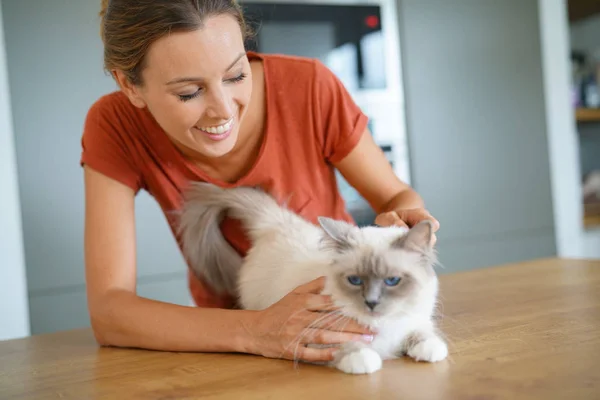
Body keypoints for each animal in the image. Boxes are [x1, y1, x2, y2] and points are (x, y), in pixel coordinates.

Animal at [176, 183, 448, 374]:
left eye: (392, 281)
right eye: (355, 281)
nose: (371, 303)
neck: (381, 327)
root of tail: (276, 221)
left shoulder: (416, 320)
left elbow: (423, 333)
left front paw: (430, 350)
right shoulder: (322, 336)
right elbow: (348, 347)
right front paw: (363, 360)